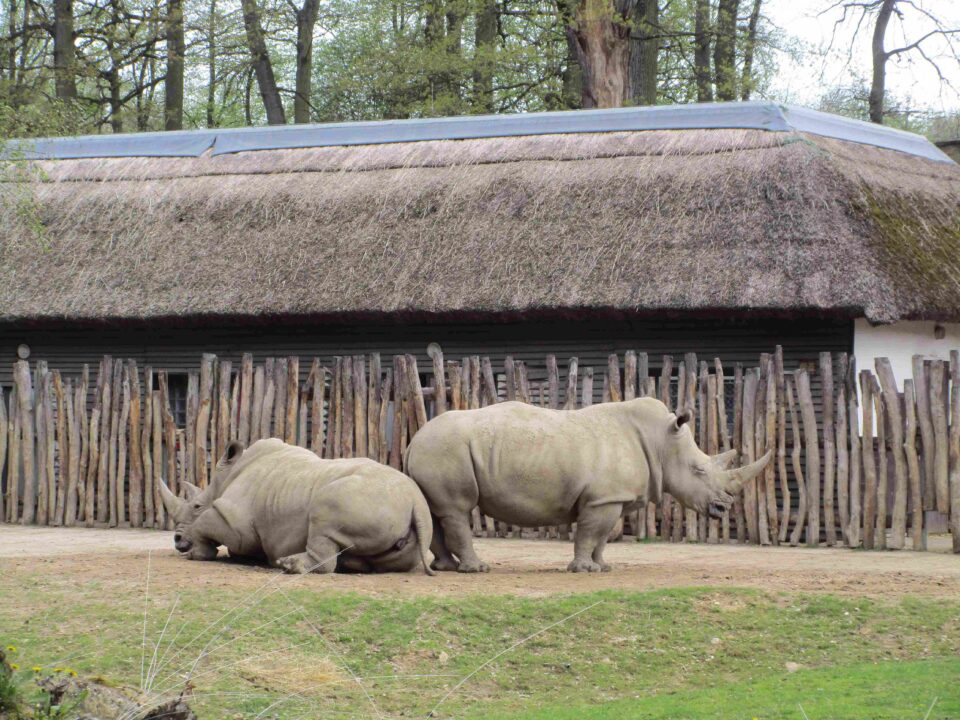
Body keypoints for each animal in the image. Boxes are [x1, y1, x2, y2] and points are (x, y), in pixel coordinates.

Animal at [159, 438, 435, 575]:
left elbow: (209, 525)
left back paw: (288, 565)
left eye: (196, 505)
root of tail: (415, 501)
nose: (177, 540)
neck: (228, 476)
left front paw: (195, 554)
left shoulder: (235, 522)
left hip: (361, 495)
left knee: (324, 514)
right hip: (395, 512)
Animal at [405, 398, 771, 573]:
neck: (661, 442)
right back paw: (477, 570)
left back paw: (448, 568)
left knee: (436, 511)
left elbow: (602, 538)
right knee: (456, 509)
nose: (724, 507)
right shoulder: (602, 499)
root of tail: (413, 439)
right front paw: (583, 570)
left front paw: (602, 567)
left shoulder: (612, 499)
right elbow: (590, 533)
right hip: (444, 449)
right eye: (698, 471)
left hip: (436, 450)